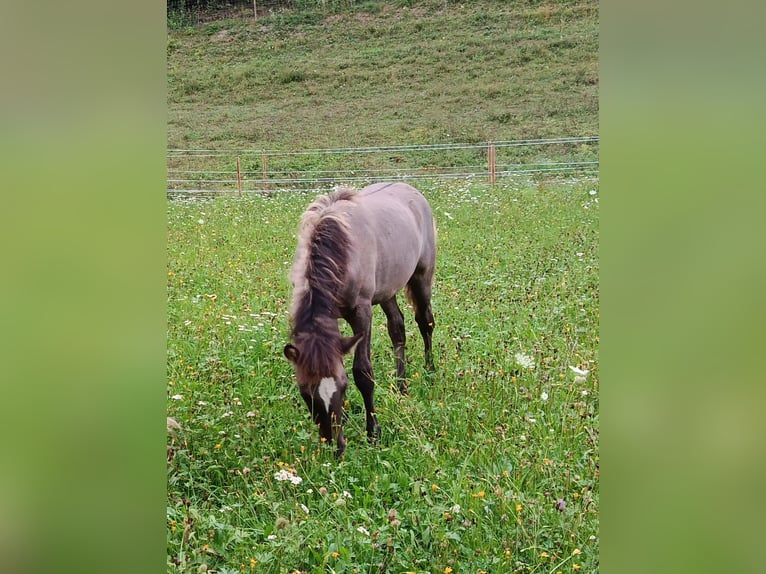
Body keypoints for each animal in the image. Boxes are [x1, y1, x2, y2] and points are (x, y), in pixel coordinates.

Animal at [283, 182, 437, 456]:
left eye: (343, 386)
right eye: (305, 392)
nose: (334, 447)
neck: (340, 249)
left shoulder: (362, 313)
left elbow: (363, 373)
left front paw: (373, 432)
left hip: (422, 278)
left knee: (425, 322)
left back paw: (429, 370)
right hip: (387, 291)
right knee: (398, 330)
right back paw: (401, 386)